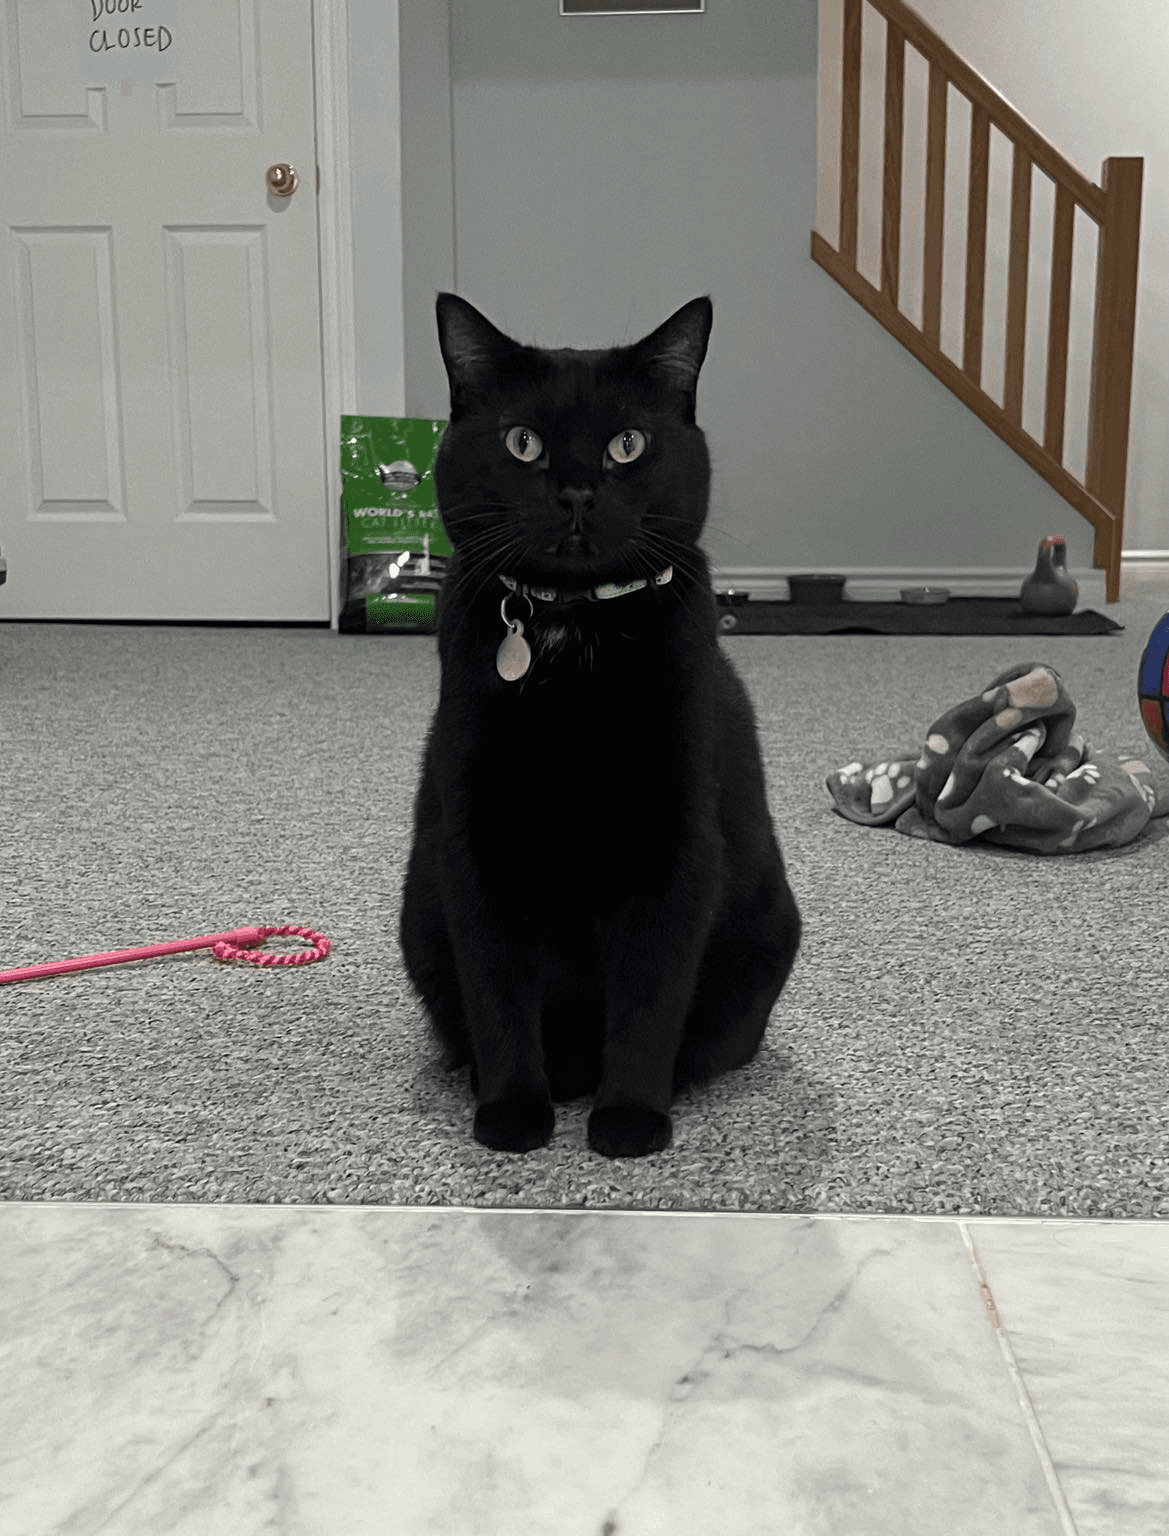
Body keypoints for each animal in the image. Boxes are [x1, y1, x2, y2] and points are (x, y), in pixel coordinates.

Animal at [396, 293, 798, 1155]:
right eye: (522, 443)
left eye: (627, 444)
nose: (577, 491)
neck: (570, 631)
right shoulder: (479, 842)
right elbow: (499, 994)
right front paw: (512, 1113)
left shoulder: (672, 845)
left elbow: (648, 996)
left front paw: (629, 1119)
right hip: (418, 917)